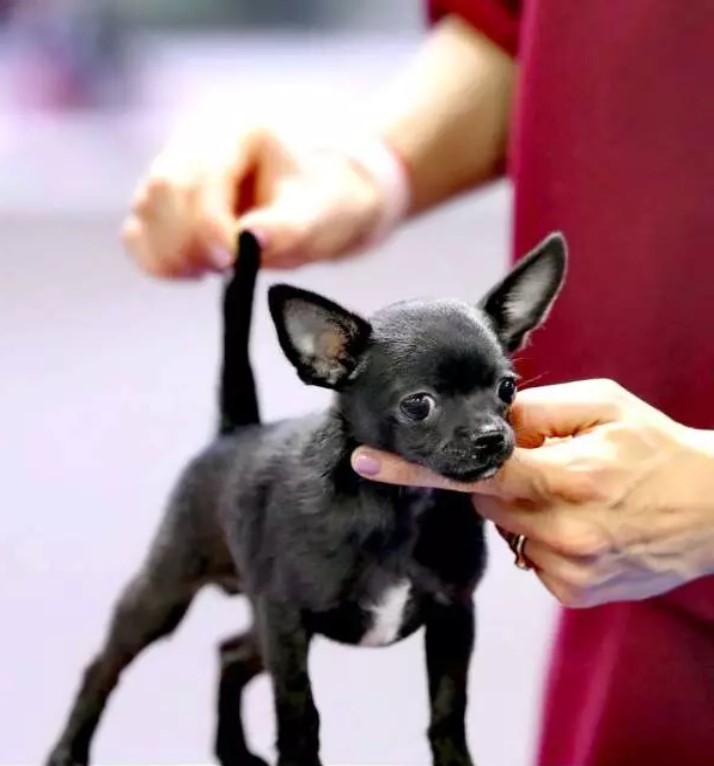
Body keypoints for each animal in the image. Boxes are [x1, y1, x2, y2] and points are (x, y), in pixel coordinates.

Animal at [47, 231, 566, 766]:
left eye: (507, 388)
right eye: (419, 404)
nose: (492, 437)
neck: (399, 506)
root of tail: (236, 431)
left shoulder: (452, 615)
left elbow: (447, 713)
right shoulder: (288, 624)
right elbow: (299, 716)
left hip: (256, 621)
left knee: (229, 654)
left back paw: (233, 750)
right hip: (167, 592)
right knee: (105, 665)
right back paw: (68, 750)